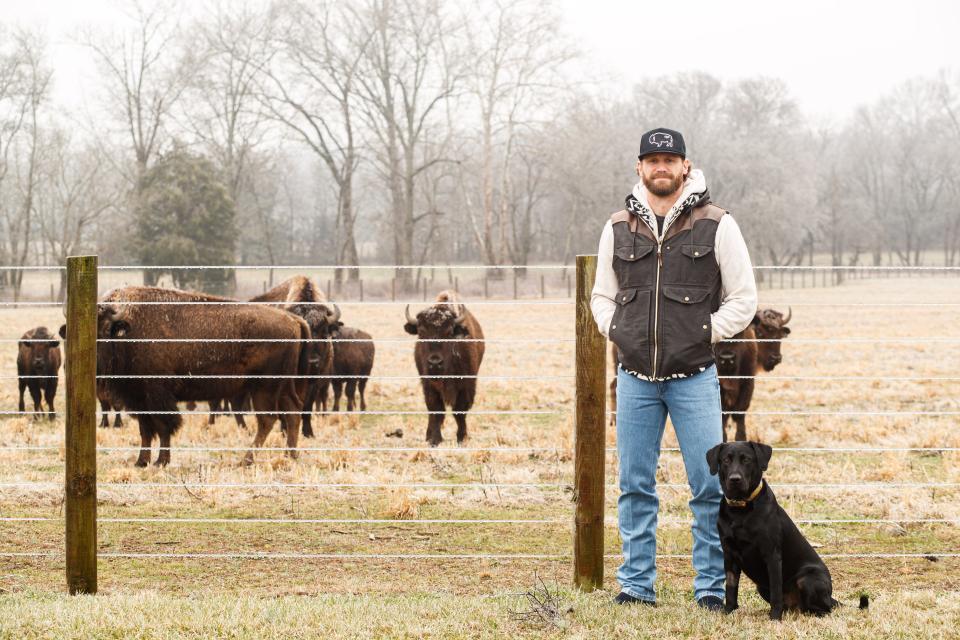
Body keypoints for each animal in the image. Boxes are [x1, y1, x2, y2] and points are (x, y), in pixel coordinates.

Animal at [88, 288, 310, 468]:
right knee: (292, 411)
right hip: (283, 386)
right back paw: (290, 456)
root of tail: (293, 320)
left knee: (267, 419)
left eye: (104, 330)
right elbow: (146, 429)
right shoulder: (139, 399)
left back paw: (247, 460)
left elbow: (163, 426)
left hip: (264, 388)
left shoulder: (157, 396)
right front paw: (141, 461)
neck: (127, 332)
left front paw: (161, 461)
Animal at [404, 290, 484, 444]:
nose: (435, 362)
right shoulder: (429, 386)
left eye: (449, 332)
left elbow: (459, 412)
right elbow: (436, 410)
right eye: (421, 332)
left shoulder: (466, 386)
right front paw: (435, 439)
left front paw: (462, 438)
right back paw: (428, 435)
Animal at [704, 440, 872, 620]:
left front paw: (775, 618)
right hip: (762, 586)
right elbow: (730, 589)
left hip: (807, 578)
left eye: (747, 459)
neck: (740, 511)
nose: (735, 479)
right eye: (726, 460)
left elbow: (776, 591)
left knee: (824, 609)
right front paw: (728, 612)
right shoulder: (729, 555)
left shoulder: (772, 555)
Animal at [716, 308, 792, 442]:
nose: (776, 358)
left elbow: (739, 413)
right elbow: (724, 415)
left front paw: (741, 438)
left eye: (779, 336)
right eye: (760, 334)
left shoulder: (748, 384)